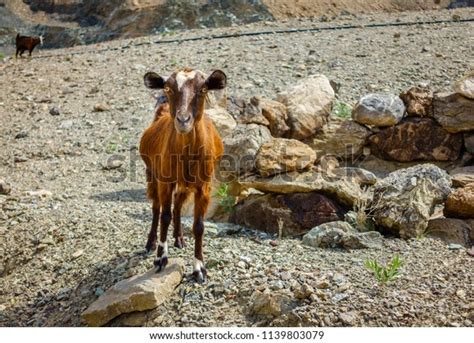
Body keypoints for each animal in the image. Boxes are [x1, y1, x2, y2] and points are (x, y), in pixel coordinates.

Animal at [139, 68, 226, 284]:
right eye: (168, 88)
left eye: (203, 89)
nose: (183, 120)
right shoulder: (165, 181)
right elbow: (164, 216)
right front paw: (160, 258)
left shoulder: (203, 186)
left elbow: (199, 225)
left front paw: (199, 269)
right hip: (152, 175)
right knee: (156, 208)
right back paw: (151, 242)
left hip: (185, 185)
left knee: (177, 206)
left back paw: (179, 238)